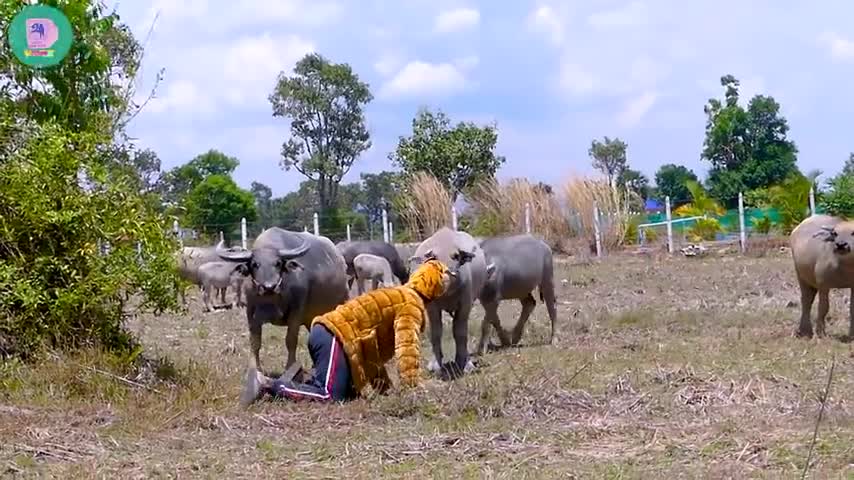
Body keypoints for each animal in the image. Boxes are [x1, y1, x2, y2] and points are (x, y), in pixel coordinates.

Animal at [217, 228, 352, 372]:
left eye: (278, 263)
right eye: (255, 264)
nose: (269, 287)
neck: (270, 302)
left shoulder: (297, 311)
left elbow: (291, 340)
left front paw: (290, 367)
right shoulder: (251, 312)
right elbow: (255, 341)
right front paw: (255, 368)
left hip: (341, 302)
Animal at [410, 227, 488, 376]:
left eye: (456, 256)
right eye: (433, 257)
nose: (444, 278)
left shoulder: (465, 304)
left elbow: (460, 332)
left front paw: (466, 364)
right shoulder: (431, 307)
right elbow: (435, 332)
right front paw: (435, 365)